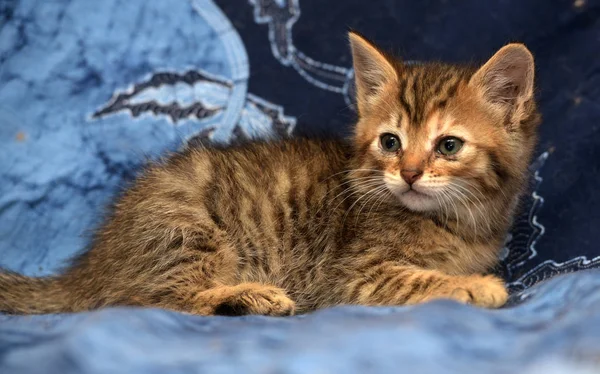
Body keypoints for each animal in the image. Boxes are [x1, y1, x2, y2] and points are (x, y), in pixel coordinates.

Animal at [0, 33, 540, 318]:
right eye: (391, 142)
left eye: (448, 146)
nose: (408, 173)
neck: (458, 220)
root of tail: (93, 262)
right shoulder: (353, 274)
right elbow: (417, 281)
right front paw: (473, 286)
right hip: (185, 227)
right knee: (144, 301)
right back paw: (247, 296)